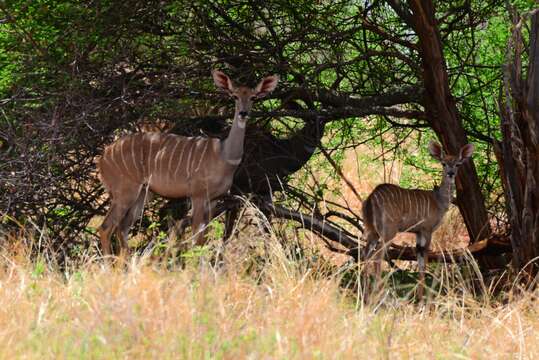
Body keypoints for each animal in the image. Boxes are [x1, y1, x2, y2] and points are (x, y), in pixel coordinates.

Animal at [97, 70, 280, 256]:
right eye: (234, 96)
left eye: (253, 97)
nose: (243, 113)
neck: (224, 156)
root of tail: (102, 158)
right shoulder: (197, 195)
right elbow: (196, 239)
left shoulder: (214, 199)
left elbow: (204, 237)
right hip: (124, 192)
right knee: (106, 228)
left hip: (142, 194)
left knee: (122, 228)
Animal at [362, 142, 476, 300]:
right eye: (443, 163)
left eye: (458, 164)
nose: (451, 173)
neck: (439, 201)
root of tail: (371, 198)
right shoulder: (427, 230)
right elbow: (424, 263)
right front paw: (422, 300)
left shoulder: (418, 233)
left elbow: (420, 261)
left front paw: (419, 297)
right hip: (388, 231)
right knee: (377, 256)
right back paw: (378, 294)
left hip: (372, 231)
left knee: (365, 254)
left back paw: (365, 296)